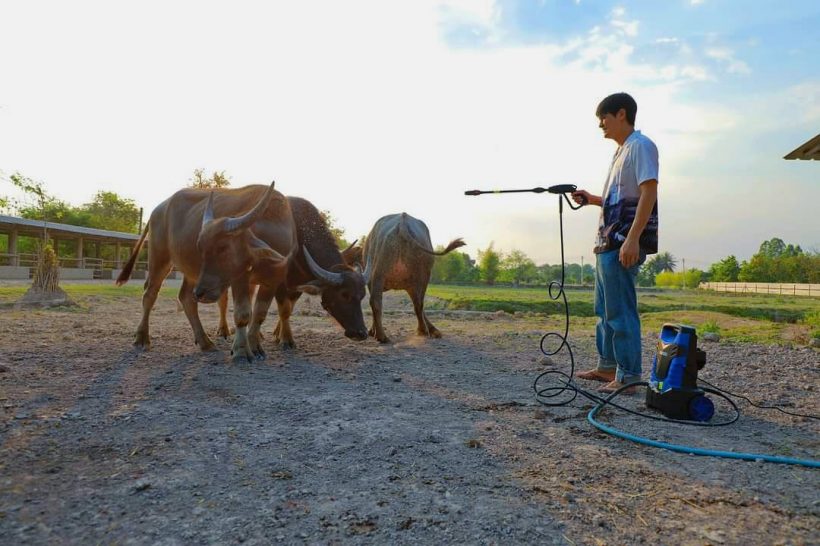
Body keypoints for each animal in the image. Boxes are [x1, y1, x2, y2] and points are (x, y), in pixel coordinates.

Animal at [115, 183, 294, 362]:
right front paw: (241, 351)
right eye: (201, 248)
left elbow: (260, 313)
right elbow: (242, 314)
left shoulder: (273, 279)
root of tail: (158, 210)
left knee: (186, 297)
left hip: (191, 273)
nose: (201, 293)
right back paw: (141, 338)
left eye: (222, 248)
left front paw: (255, 346)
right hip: (160, 258)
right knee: (150, 294)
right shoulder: (239, 279)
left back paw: (204, 341)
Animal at [362, 211, 464, 340]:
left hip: (383, 265)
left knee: (378, 300)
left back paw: (382, 336)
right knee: (418, 302)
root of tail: (402, 223)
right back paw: (421, 331)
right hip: (419, 270)